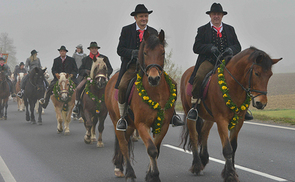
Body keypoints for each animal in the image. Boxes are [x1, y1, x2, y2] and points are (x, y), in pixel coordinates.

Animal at [105, 30, 176, 182]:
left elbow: (156, 148)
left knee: (126, 141)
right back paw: (129, 173)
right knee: (123, 144)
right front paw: (154, 175)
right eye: (145, 53)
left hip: (130, 125)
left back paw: (122, 168)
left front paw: (150, 175)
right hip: (116, 120)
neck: (156, 93)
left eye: (162, 52)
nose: (154, 79)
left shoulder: (163, 125)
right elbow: (151, 149)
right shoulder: (142, 124)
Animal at [180, 46, 282, 181]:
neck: (232, 85)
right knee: (194, 136)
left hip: (209, 117)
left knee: (204, 132)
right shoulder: (221, 120)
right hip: (189, 112)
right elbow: (227, 148)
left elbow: (233, 146)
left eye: (270, 75)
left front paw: (231, 171)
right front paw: (229, 175)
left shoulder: (239, 120)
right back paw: (197, 166)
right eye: (257, 73)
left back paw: (203, 159)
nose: (261, 103)